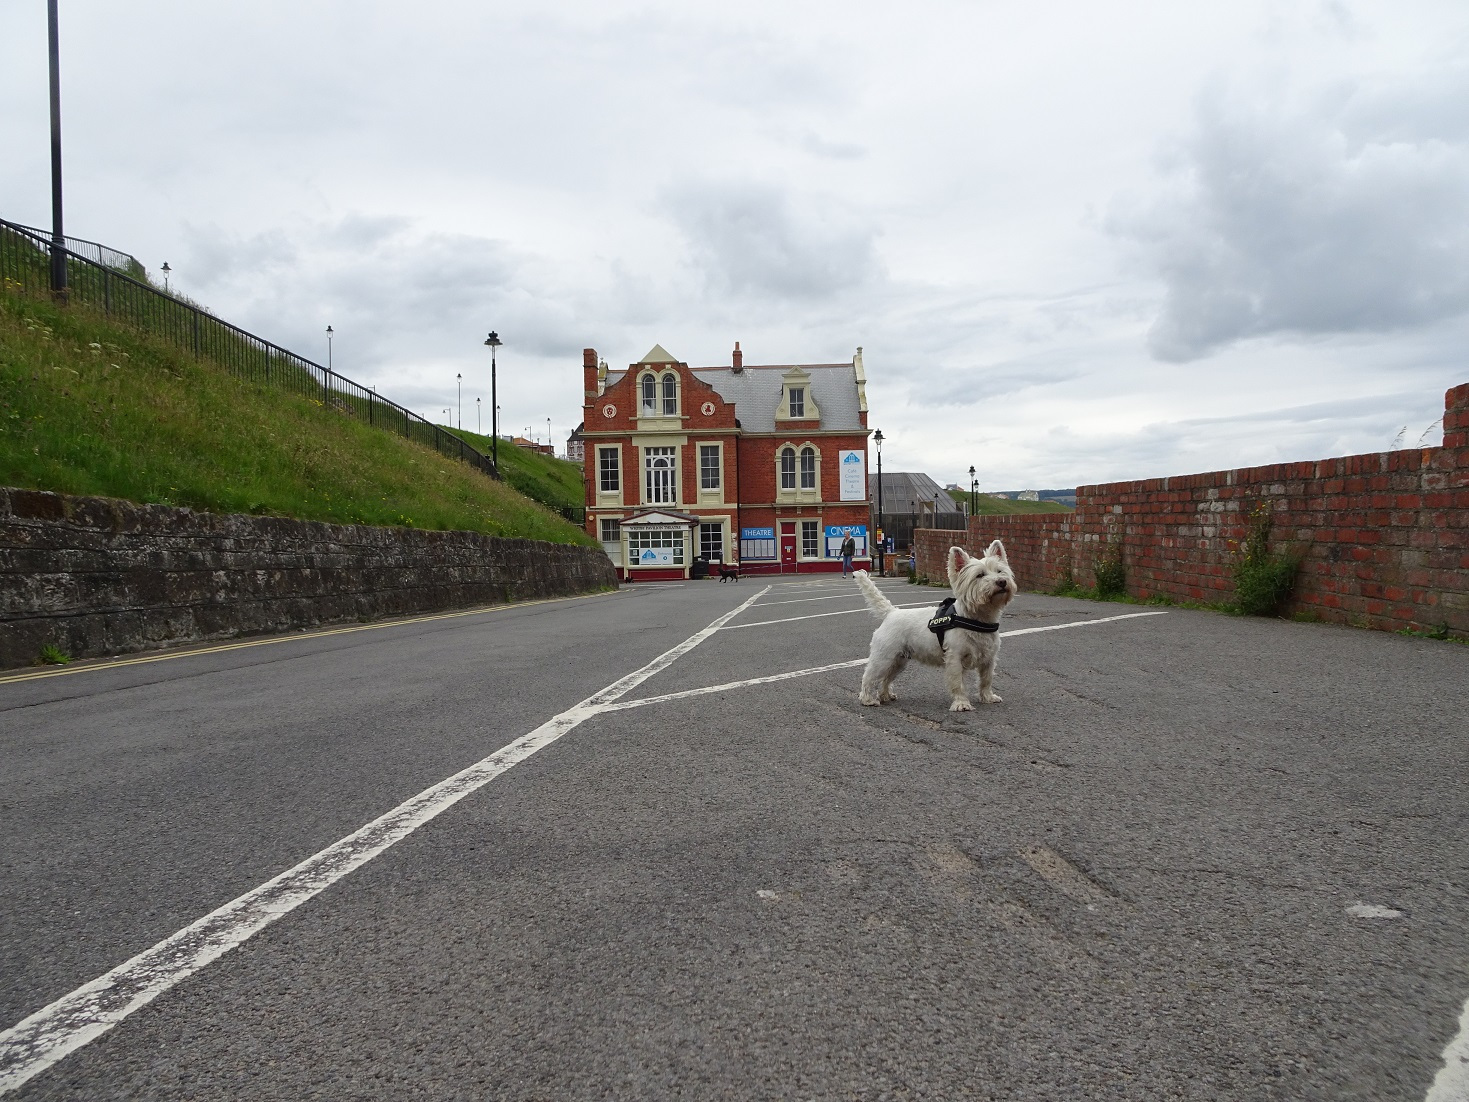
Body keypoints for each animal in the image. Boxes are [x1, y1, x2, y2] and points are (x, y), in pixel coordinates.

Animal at [857, 543, 1016, 717]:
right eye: (979, 575)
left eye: (999, 571)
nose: (1002, 582)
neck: (978, 618)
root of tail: (891, 612)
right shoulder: (955, 658)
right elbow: (958, 683)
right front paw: (961, 704)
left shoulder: (989, 659)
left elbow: (986, 679)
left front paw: (988, 697)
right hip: (884, 657)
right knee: (869, 676)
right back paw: (868, 699)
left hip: (899, 660)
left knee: (886, 678)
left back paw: (886, 695)